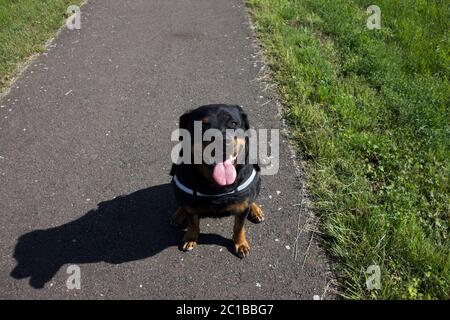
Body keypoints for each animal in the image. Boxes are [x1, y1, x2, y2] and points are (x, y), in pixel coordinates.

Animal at [171, 104, 266, 258]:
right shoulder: (190, 205)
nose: (222, 142)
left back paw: (255, 210)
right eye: (201, 126)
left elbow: (239, 227)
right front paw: (191, 237)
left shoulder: (242, 210)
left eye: (233, 123)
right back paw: (179, 214)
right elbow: (193, 221)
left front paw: (240, 243)